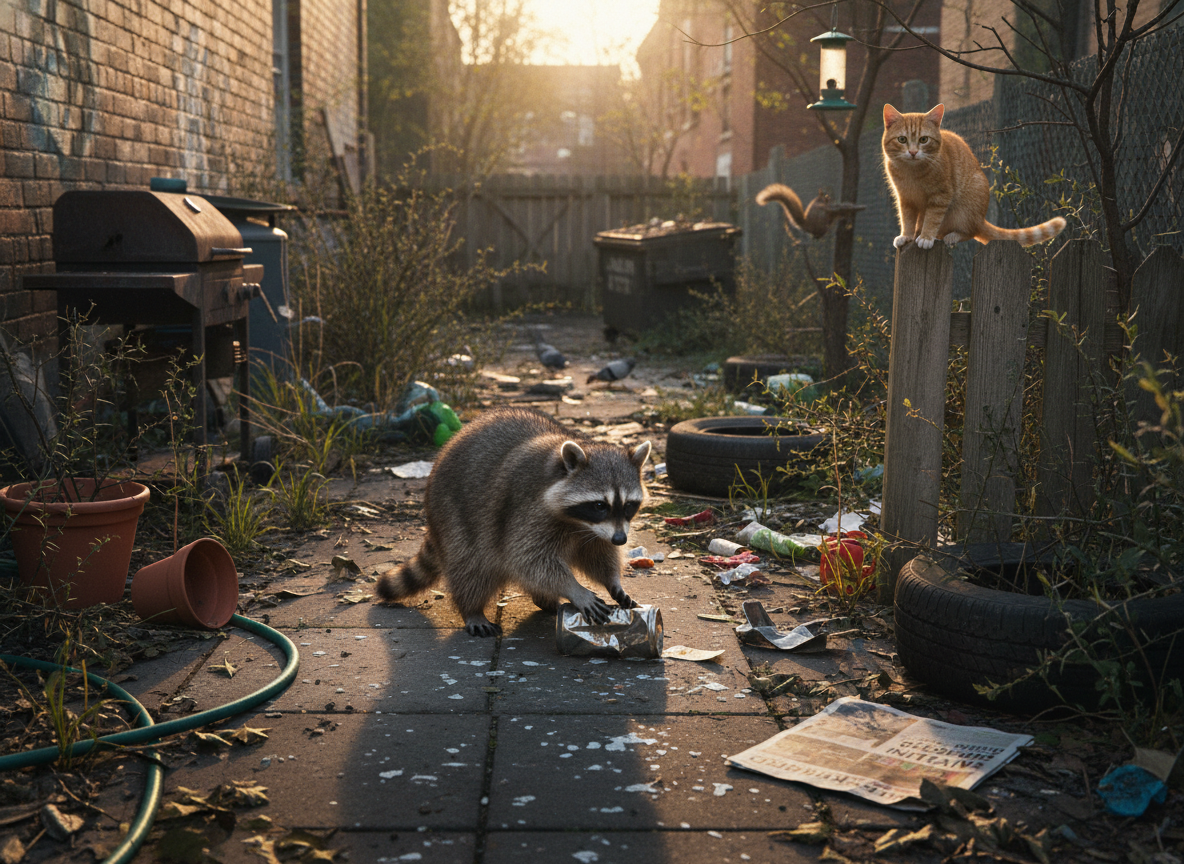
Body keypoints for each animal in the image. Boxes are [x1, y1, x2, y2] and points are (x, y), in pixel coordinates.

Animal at [377, 406, 652, 637]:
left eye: (629, 505)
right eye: (599, 505)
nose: (621, 540)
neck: (579, 523)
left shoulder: (597, 532)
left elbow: (599, 554)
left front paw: (613, 582)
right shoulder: (528, 510)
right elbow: (528, 559)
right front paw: (574, 589)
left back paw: (544, 600)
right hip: (452, 513)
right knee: (471, 565)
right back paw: (472, 609)